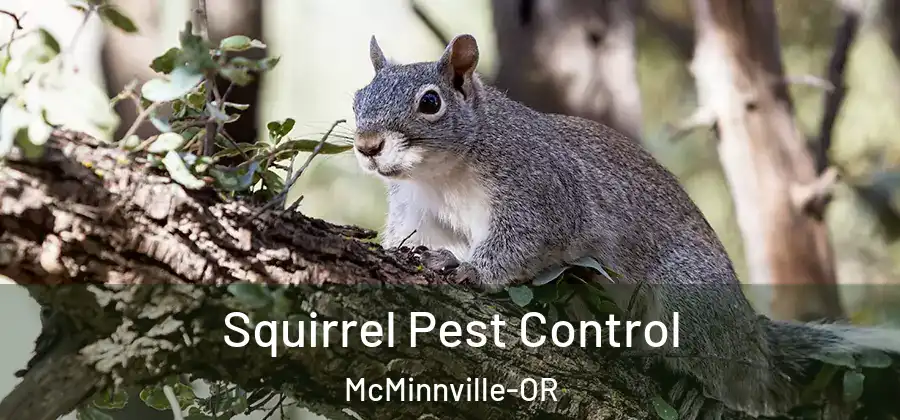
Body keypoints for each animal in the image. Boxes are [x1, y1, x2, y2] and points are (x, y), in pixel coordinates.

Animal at [350, 34, 900, 418]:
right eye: (358, 97)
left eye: (430, 102)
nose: (367, 145)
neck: (442, 174)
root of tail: (751, 332)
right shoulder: (419, 211)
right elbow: (410, 238)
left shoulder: (542, 191)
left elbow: (523, 241)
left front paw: (470, 270)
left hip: (689, 299)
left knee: (741, 381)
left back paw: (702, 391)